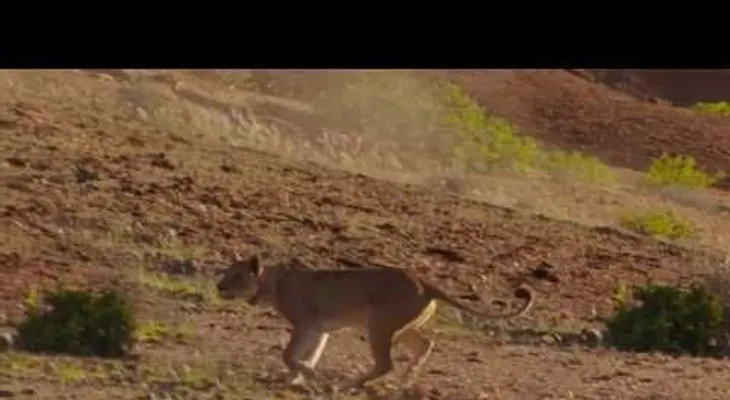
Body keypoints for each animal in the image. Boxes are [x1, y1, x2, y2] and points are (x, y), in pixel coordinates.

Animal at [216, 253, 534, 392]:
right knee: (425, 344)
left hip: (378, 325)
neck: (271, 283)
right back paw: (406, 381)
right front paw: (297, 378)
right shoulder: (319, 329)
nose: (218, 286)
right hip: (401, 327)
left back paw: (350, 383)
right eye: (227, 273)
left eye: (235, 276)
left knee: (386, 363)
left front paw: (306, 375)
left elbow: (289, 354)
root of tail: (424, 282)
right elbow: (308, 354)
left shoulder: (305, 322)